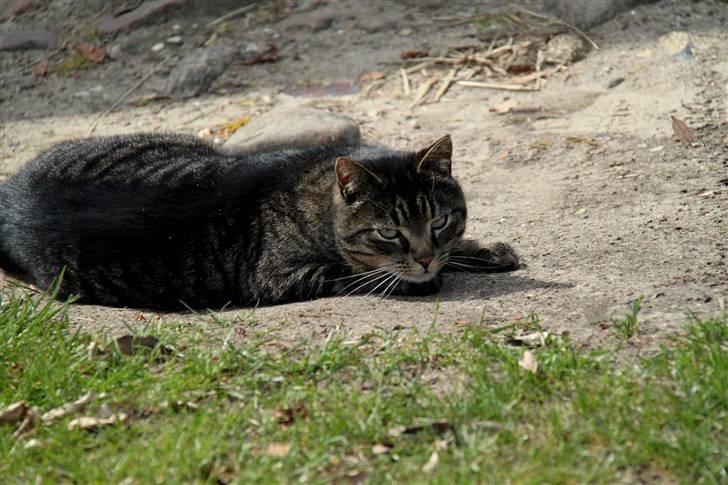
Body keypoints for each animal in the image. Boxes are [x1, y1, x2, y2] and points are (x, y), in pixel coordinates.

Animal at [1, 130, 524, 308]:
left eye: (438, 221)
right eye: (388, 232)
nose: (424, 257)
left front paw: (482, 249)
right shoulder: (277, 275)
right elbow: (358, 275)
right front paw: (426, 275)